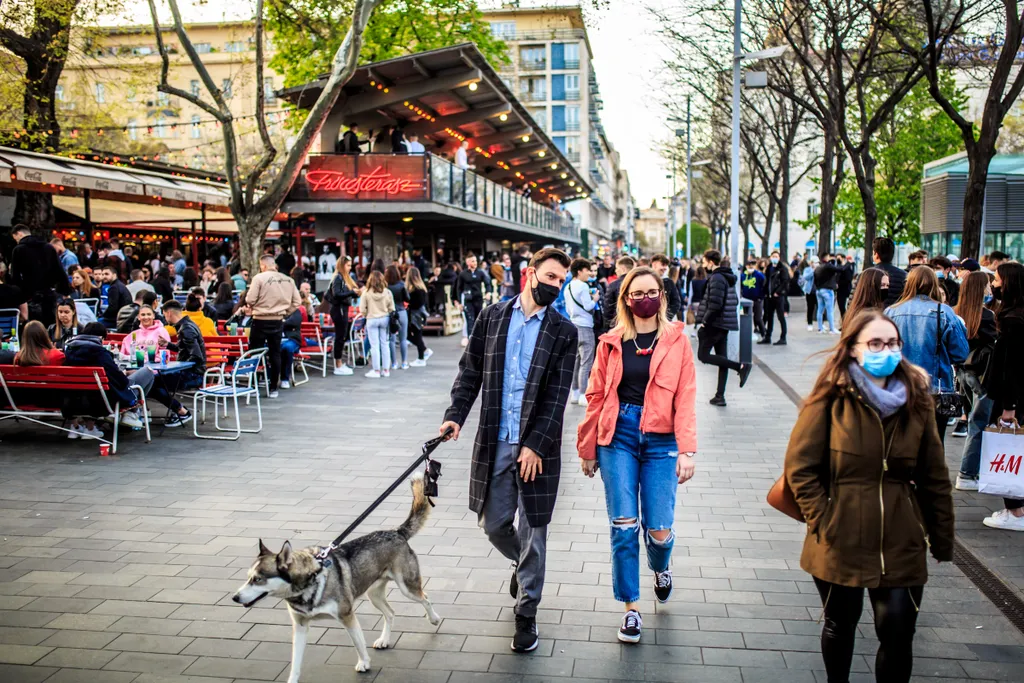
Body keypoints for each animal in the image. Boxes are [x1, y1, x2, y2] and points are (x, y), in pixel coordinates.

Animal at [232, 475, 440, 679]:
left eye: (258, 579)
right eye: (248, 577)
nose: (235, 597)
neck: (309, 585)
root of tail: (396, 532)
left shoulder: (347, 615)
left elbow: (358, 643)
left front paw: (364, 663)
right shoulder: (300, 626)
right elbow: (295, 663)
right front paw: (293, 678)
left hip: (407, 586)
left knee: (426, 598)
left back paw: (434, 619)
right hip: (373, 594)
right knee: (390, 613)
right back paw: (384, 640)